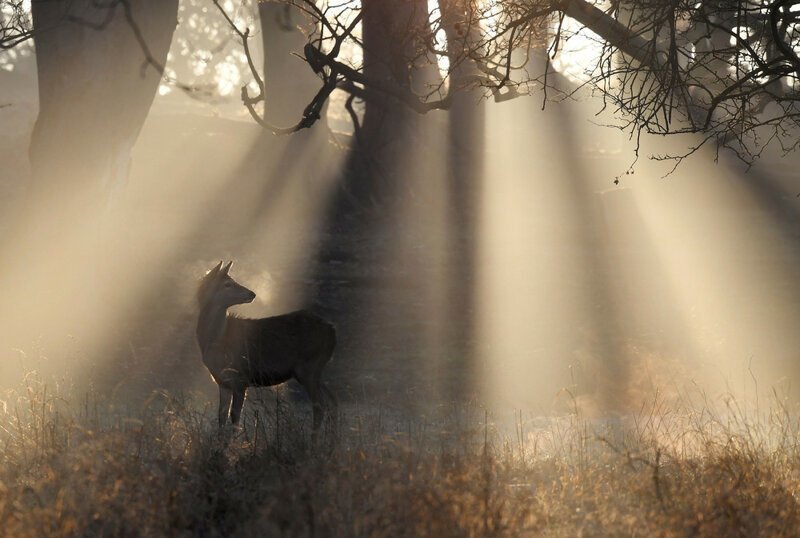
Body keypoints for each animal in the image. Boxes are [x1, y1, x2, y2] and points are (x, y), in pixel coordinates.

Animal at [198, 260, 340, 440]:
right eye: (227, 284)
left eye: (232, 280)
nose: (251, 293)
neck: (216, 341)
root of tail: (332, 331)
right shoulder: (223, 381)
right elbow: (221, 417)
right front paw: (220, 444)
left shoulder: (241, 378)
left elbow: (235, 417)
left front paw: (233, 444)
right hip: (315, 370)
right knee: (333, 400)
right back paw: (333, 440)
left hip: (309, 366)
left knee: (320, 405)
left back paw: (314, 441)